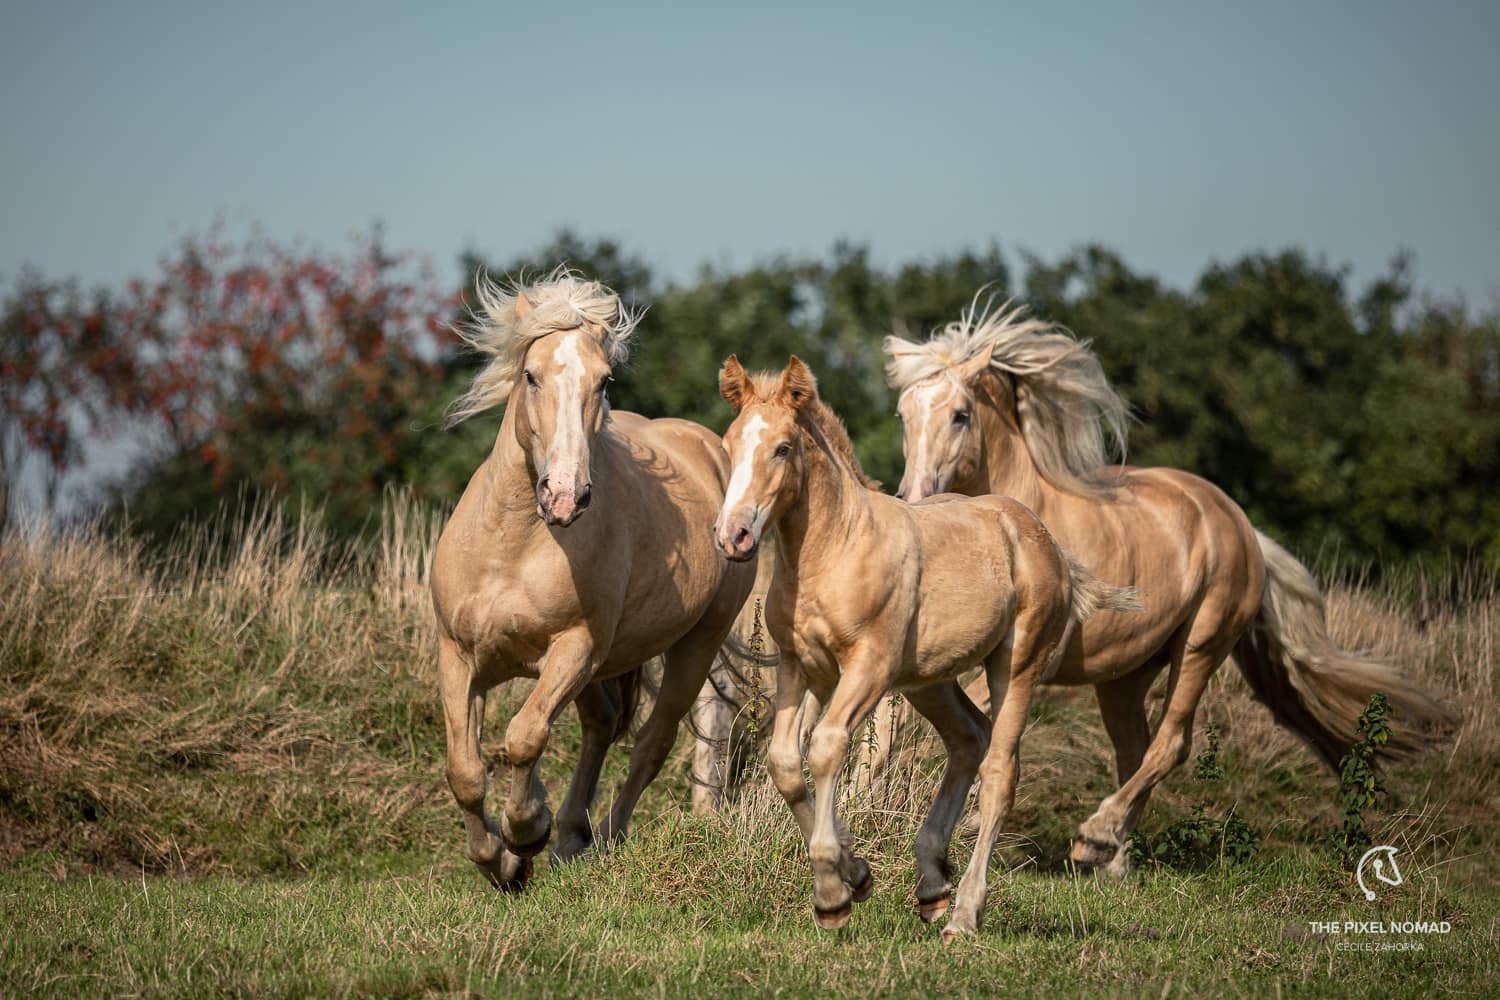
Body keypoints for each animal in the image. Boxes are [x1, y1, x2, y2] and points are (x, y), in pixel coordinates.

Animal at [435, 268, 762, 893]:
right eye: (531, 376)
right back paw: (568, 837)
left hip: (695, 644)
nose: (565, 496)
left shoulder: (575, 648)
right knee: (603, 724)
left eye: (604, 382)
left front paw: (524, 832)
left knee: (650, 744)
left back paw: (599, 838)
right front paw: (500, 862)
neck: (513, 546)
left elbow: (524, 737)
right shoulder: (458, 654)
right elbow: (464, 770)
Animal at [714, 353, 1134, 941]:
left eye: (783, 448)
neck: (834, 549)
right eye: (729, 443)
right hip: (928, 681)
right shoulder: (804, 668)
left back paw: (963, 915)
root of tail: (1043, 536)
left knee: (999, 772)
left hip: (1016, 666)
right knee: (968, 738)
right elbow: (785, 763)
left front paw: (832, 898)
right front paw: (857, 875)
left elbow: (825, 747)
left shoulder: (868, 666)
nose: (734, 537)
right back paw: (933, 884)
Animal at [882, 290, 1458, 875]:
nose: (913, 497)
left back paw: (1094, 836)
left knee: (1171, 742)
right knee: (1133, 750)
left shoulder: (1027, 657)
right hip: (1124, 678)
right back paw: (1113, 858)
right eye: (903, 414)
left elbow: (978, 724)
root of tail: (1242, 526)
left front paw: (965, 816)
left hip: (1201, 646)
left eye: (960, 415)